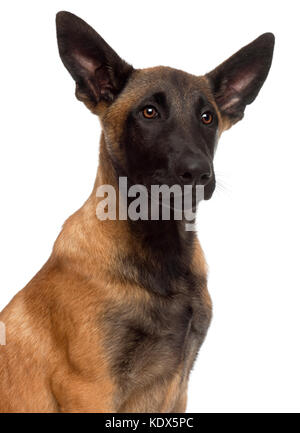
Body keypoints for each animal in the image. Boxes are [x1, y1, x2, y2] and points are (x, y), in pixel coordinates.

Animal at [0, 11, 274, 412]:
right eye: (149, 112)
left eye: (207, 117)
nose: (198, 173)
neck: (160, 253)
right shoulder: (90, 389)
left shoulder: (178, 389)